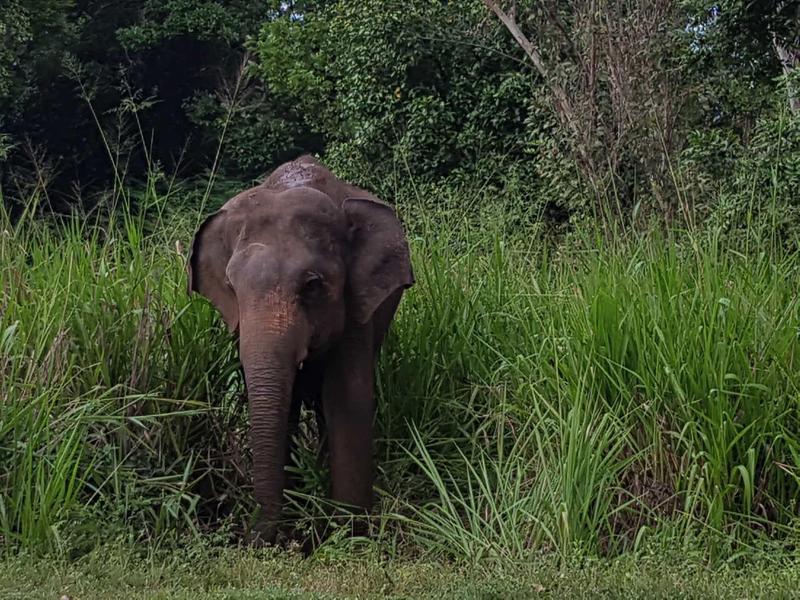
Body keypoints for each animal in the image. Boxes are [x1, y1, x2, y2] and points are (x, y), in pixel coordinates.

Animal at [187, 155, 414, 544]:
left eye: (313, 285)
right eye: (231, 286)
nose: (256, 539)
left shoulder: (357, 307)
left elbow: (344, 395)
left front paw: (350, 534)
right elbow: (283, 400)